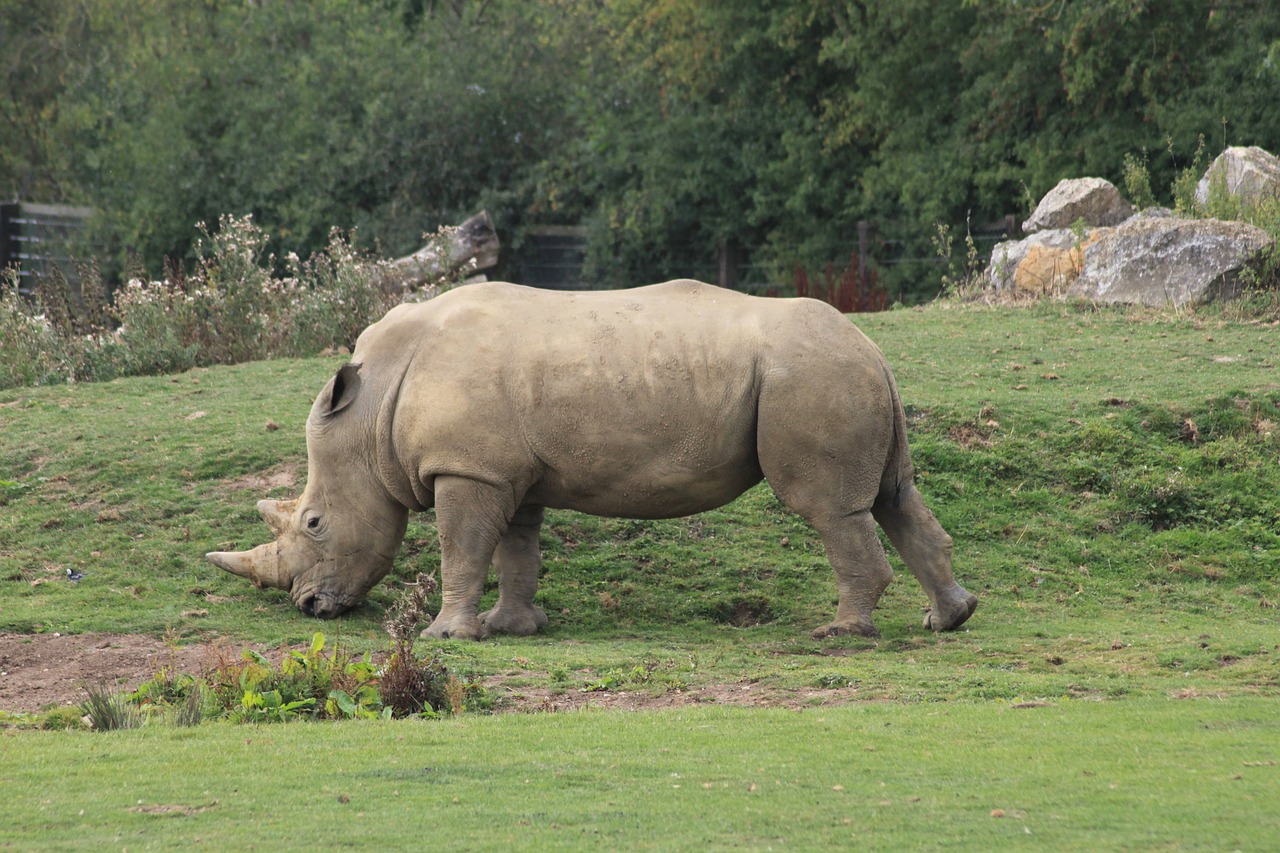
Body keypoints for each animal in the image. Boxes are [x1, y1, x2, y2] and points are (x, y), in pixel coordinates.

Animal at [207, 279, 977, 637]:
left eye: (313, 523)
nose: (310, 607)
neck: (371, 414)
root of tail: (873, 347)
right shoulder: (508, 472)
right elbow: (515, 549)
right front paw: (511, 628)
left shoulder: (467, 468)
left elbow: (462, 549)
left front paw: (448, 634)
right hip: (839, 374)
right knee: (895, 494)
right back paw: (948, 619)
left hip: (809, 377)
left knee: (828, 509)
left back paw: (842, 632)